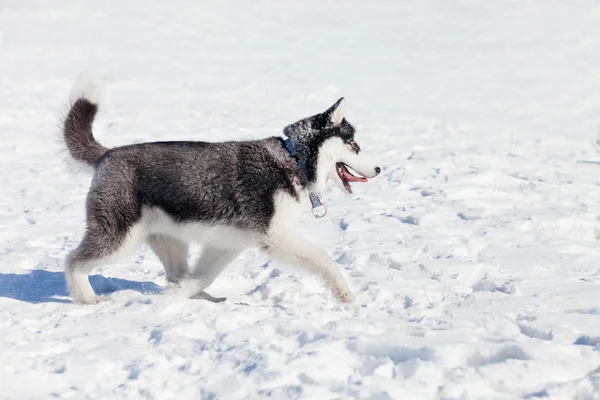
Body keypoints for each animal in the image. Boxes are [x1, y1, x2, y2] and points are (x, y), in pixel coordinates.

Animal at [62, 79, 380, 304]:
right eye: (355, 145)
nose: (378, 169)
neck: (295, 160)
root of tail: (107, 154)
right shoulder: (274, 237)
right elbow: (323, 258)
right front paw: (344, 293)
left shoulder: (229, 242)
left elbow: (203, 276)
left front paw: (177, 296)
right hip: (119, 235)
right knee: (73, 261)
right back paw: (87, 297)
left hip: (169, 238)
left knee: (177, 273)